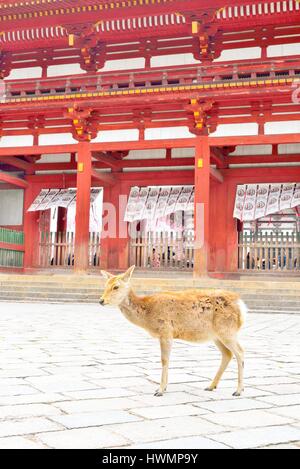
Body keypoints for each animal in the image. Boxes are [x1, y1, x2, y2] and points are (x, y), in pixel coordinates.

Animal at [99, 266, 245, 396]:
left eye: (116, 286)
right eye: (105, 285)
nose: (101, 300)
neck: (148, 315)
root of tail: (241, 306)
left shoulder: (166, 331)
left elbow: (164, 359)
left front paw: (160, 390)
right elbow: (167, 359)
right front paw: (164, 387)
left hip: (227, 330)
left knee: (240, 352)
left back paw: (238, 390)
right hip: (216, 335)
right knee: (227, 354)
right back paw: (211, 386)